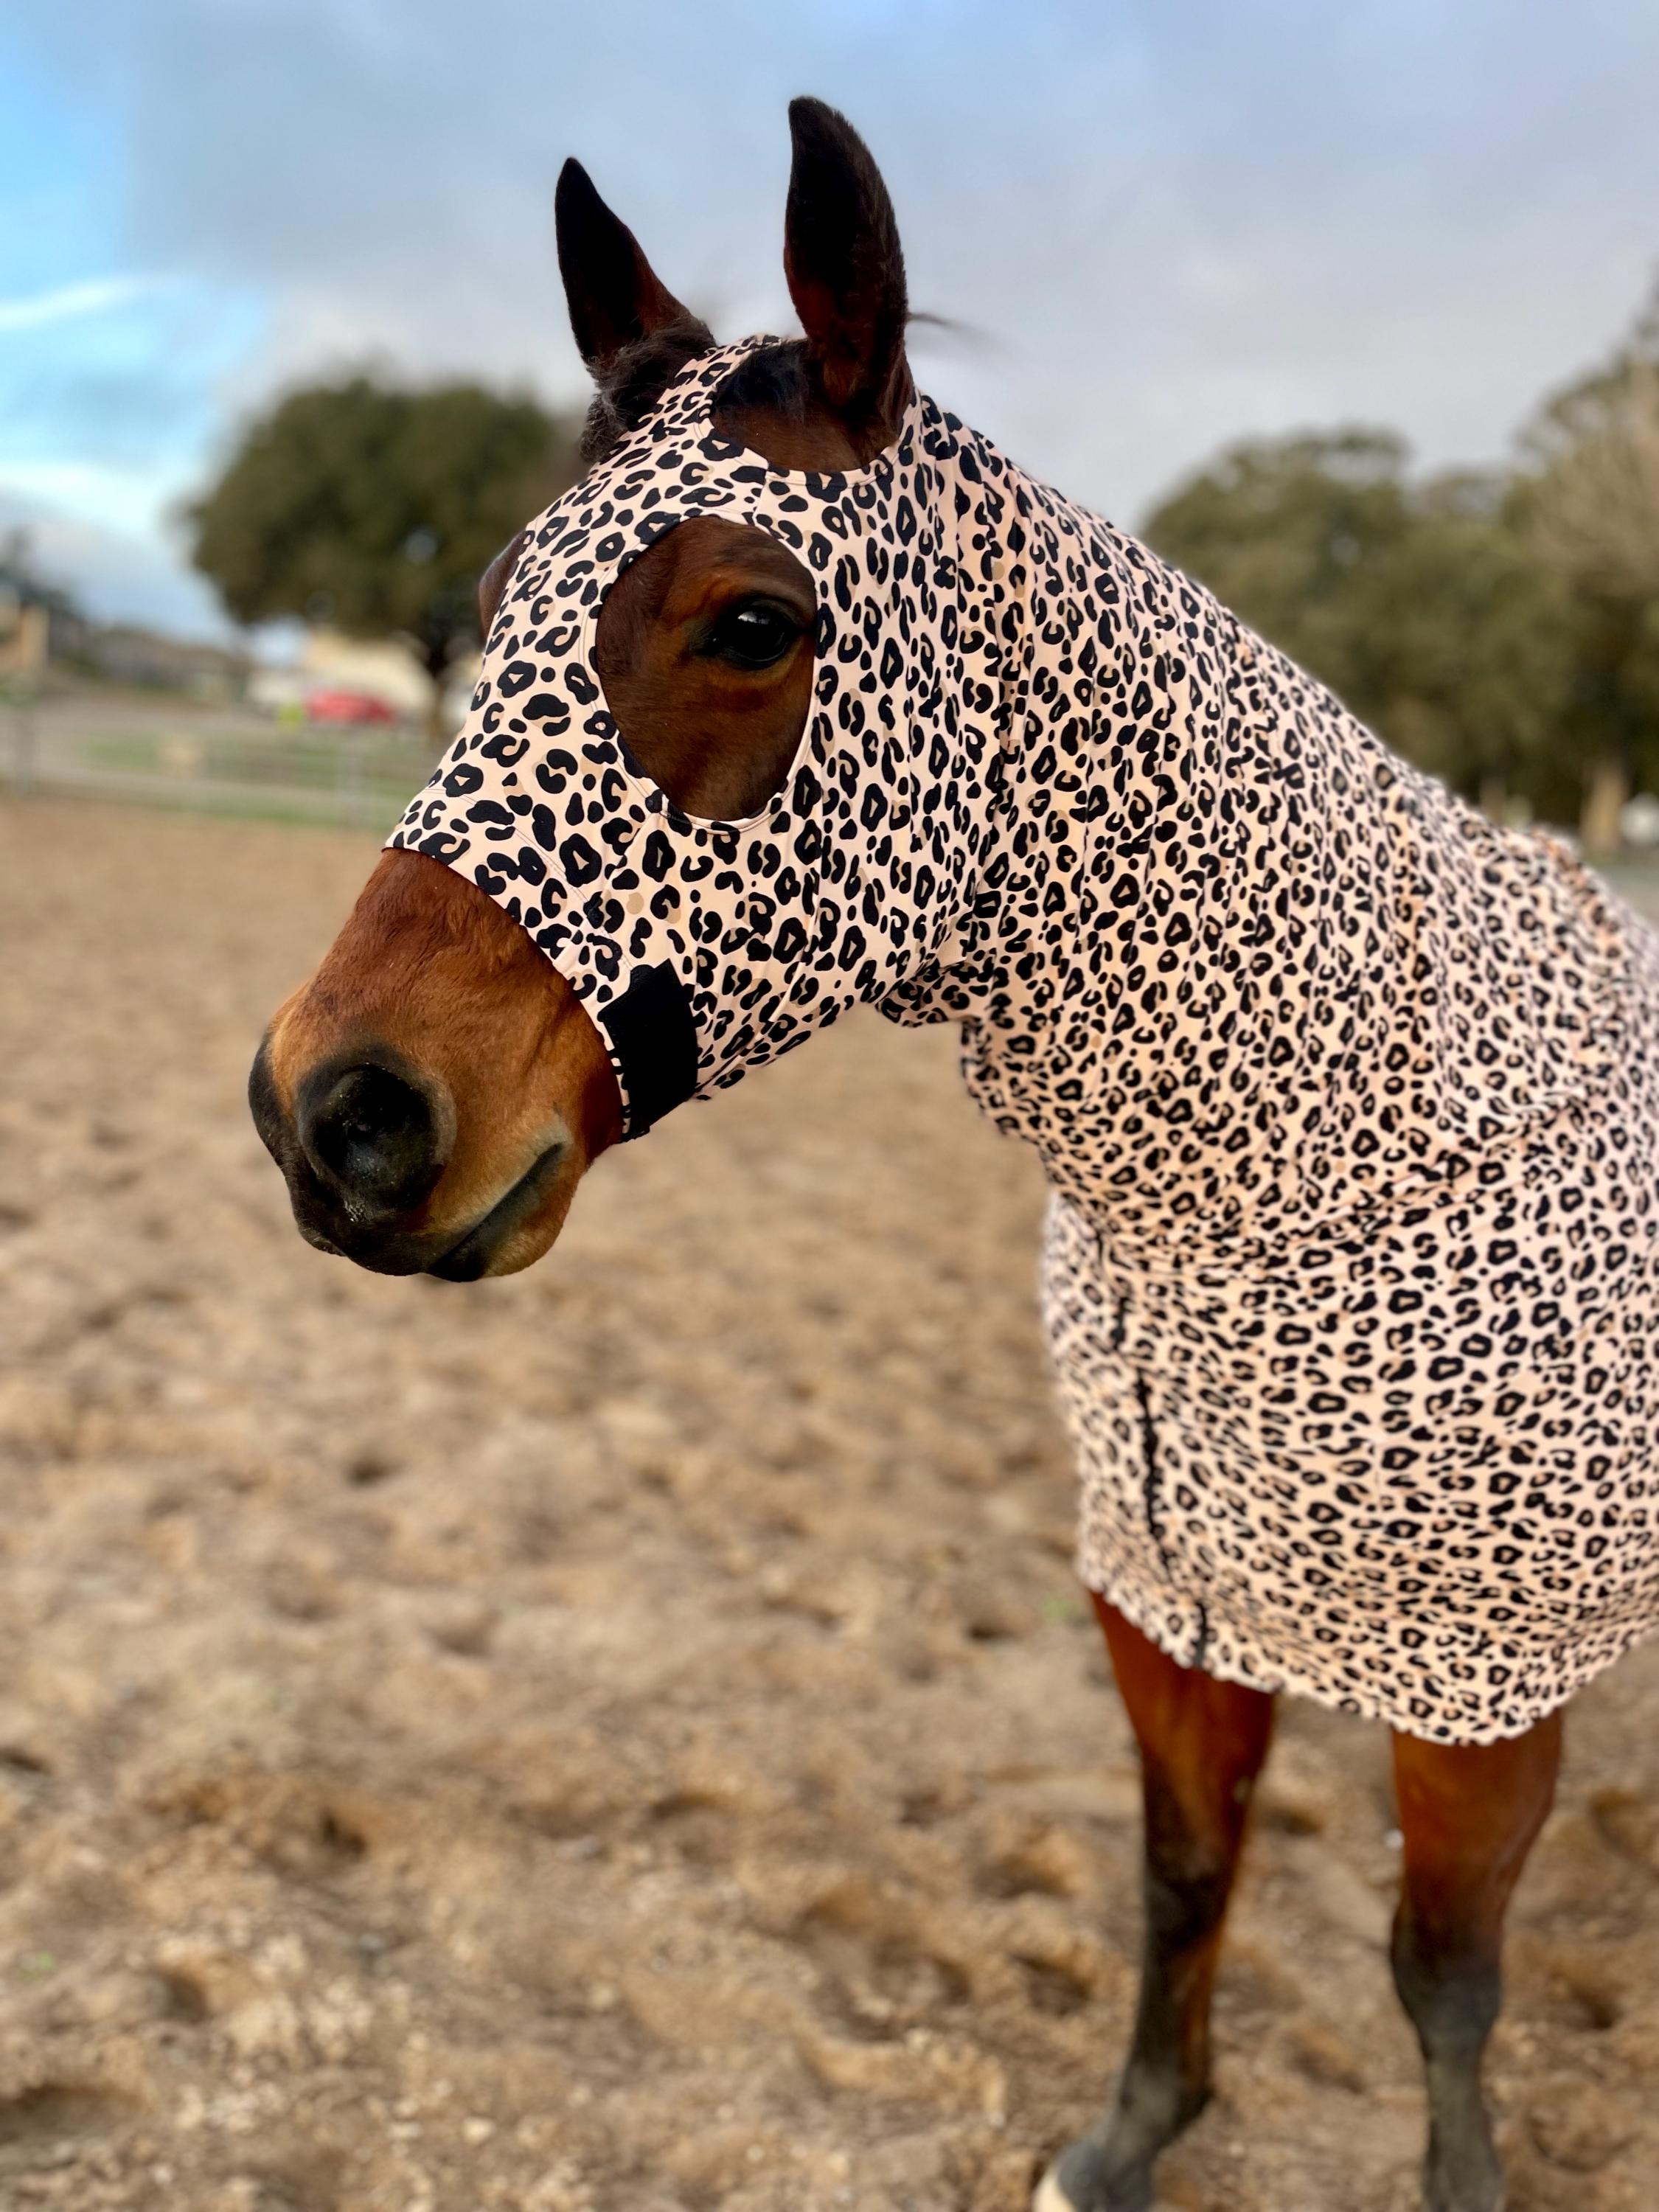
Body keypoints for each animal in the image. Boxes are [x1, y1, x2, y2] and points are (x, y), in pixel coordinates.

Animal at [248, 100, 1659, 2212]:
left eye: (753, 621)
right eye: (491, 606)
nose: (332, 1108)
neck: (1304, 1185)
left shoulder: (1484, 1695)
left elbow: (1443, 1971)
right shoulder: (1164, 1608)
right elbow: (1185, 1875)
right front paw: (1131, 2136)